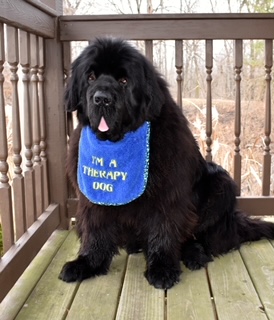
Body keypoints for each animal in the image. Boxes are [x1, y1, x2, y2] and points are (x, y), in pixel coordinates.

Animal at [58, 37, 274, 290]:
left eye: (124, 81)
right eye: (90, 77)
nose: (101, 98)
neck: (116, 143)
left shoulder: (168, 194)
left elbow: (164, 229)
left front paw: (162, 268)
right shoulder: (93, 198)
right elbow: (95, 230)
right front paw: (87, 263)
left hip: (221, 183)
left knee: (209, 239)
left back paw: (194, 254)